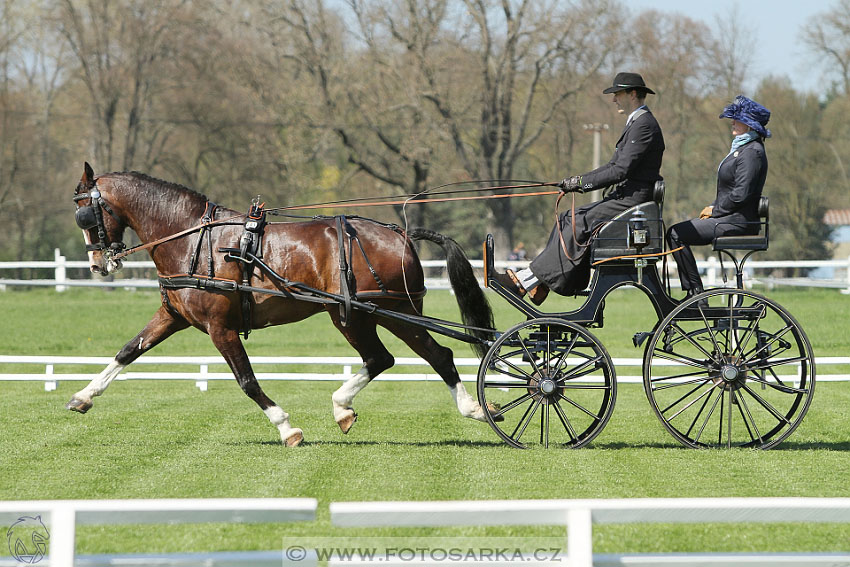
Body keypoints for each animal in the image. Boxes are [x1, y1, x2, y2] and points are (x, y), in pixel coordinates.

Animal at [69, 164, 494, 448]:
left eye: (86, 213)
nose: (97, 265)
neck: (192, 239)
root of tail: (399, 232)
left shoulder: (219, 328)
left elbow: (247, 380)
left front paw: (287, 427)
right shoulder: (172, 316)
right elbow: (128, 351)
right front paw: (84, 396)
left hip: (379, 312)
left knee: (425, 355)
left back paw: (468, 408)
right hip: (364, 315)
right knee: (395, 357)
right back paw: (345, 408)